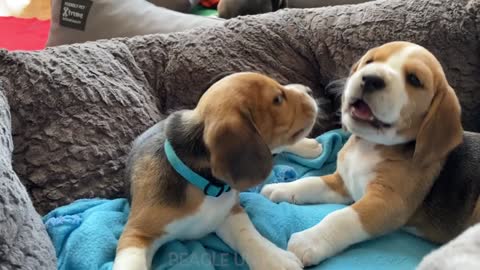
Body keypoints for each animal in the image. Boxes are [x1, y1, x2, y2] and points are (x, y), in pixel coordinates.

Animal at [112, 71, 322, 270]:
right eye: (277, 99)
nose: (309, 90)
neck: (201, 183)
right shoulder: (136, 232)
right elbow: (131, 262)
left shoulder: (229, 211)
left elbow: (249, 236)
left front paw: (273, 259)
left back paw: (310, 146)